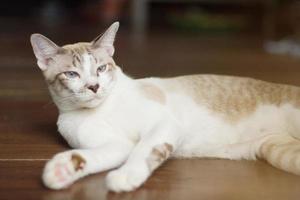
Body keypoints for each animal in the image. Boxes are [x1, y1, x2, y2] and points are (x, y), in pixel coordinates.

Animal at [30, 21, 300, 192]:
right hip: (281, 152)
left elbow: (143, 149)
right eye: (72, 74)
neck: (103, 109)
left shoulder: (163, 124)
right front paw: (63, 169)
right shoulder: (115, 145)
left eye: (101, 68)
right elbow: (94, 155)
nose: (94, 86)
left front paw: (125, 176)